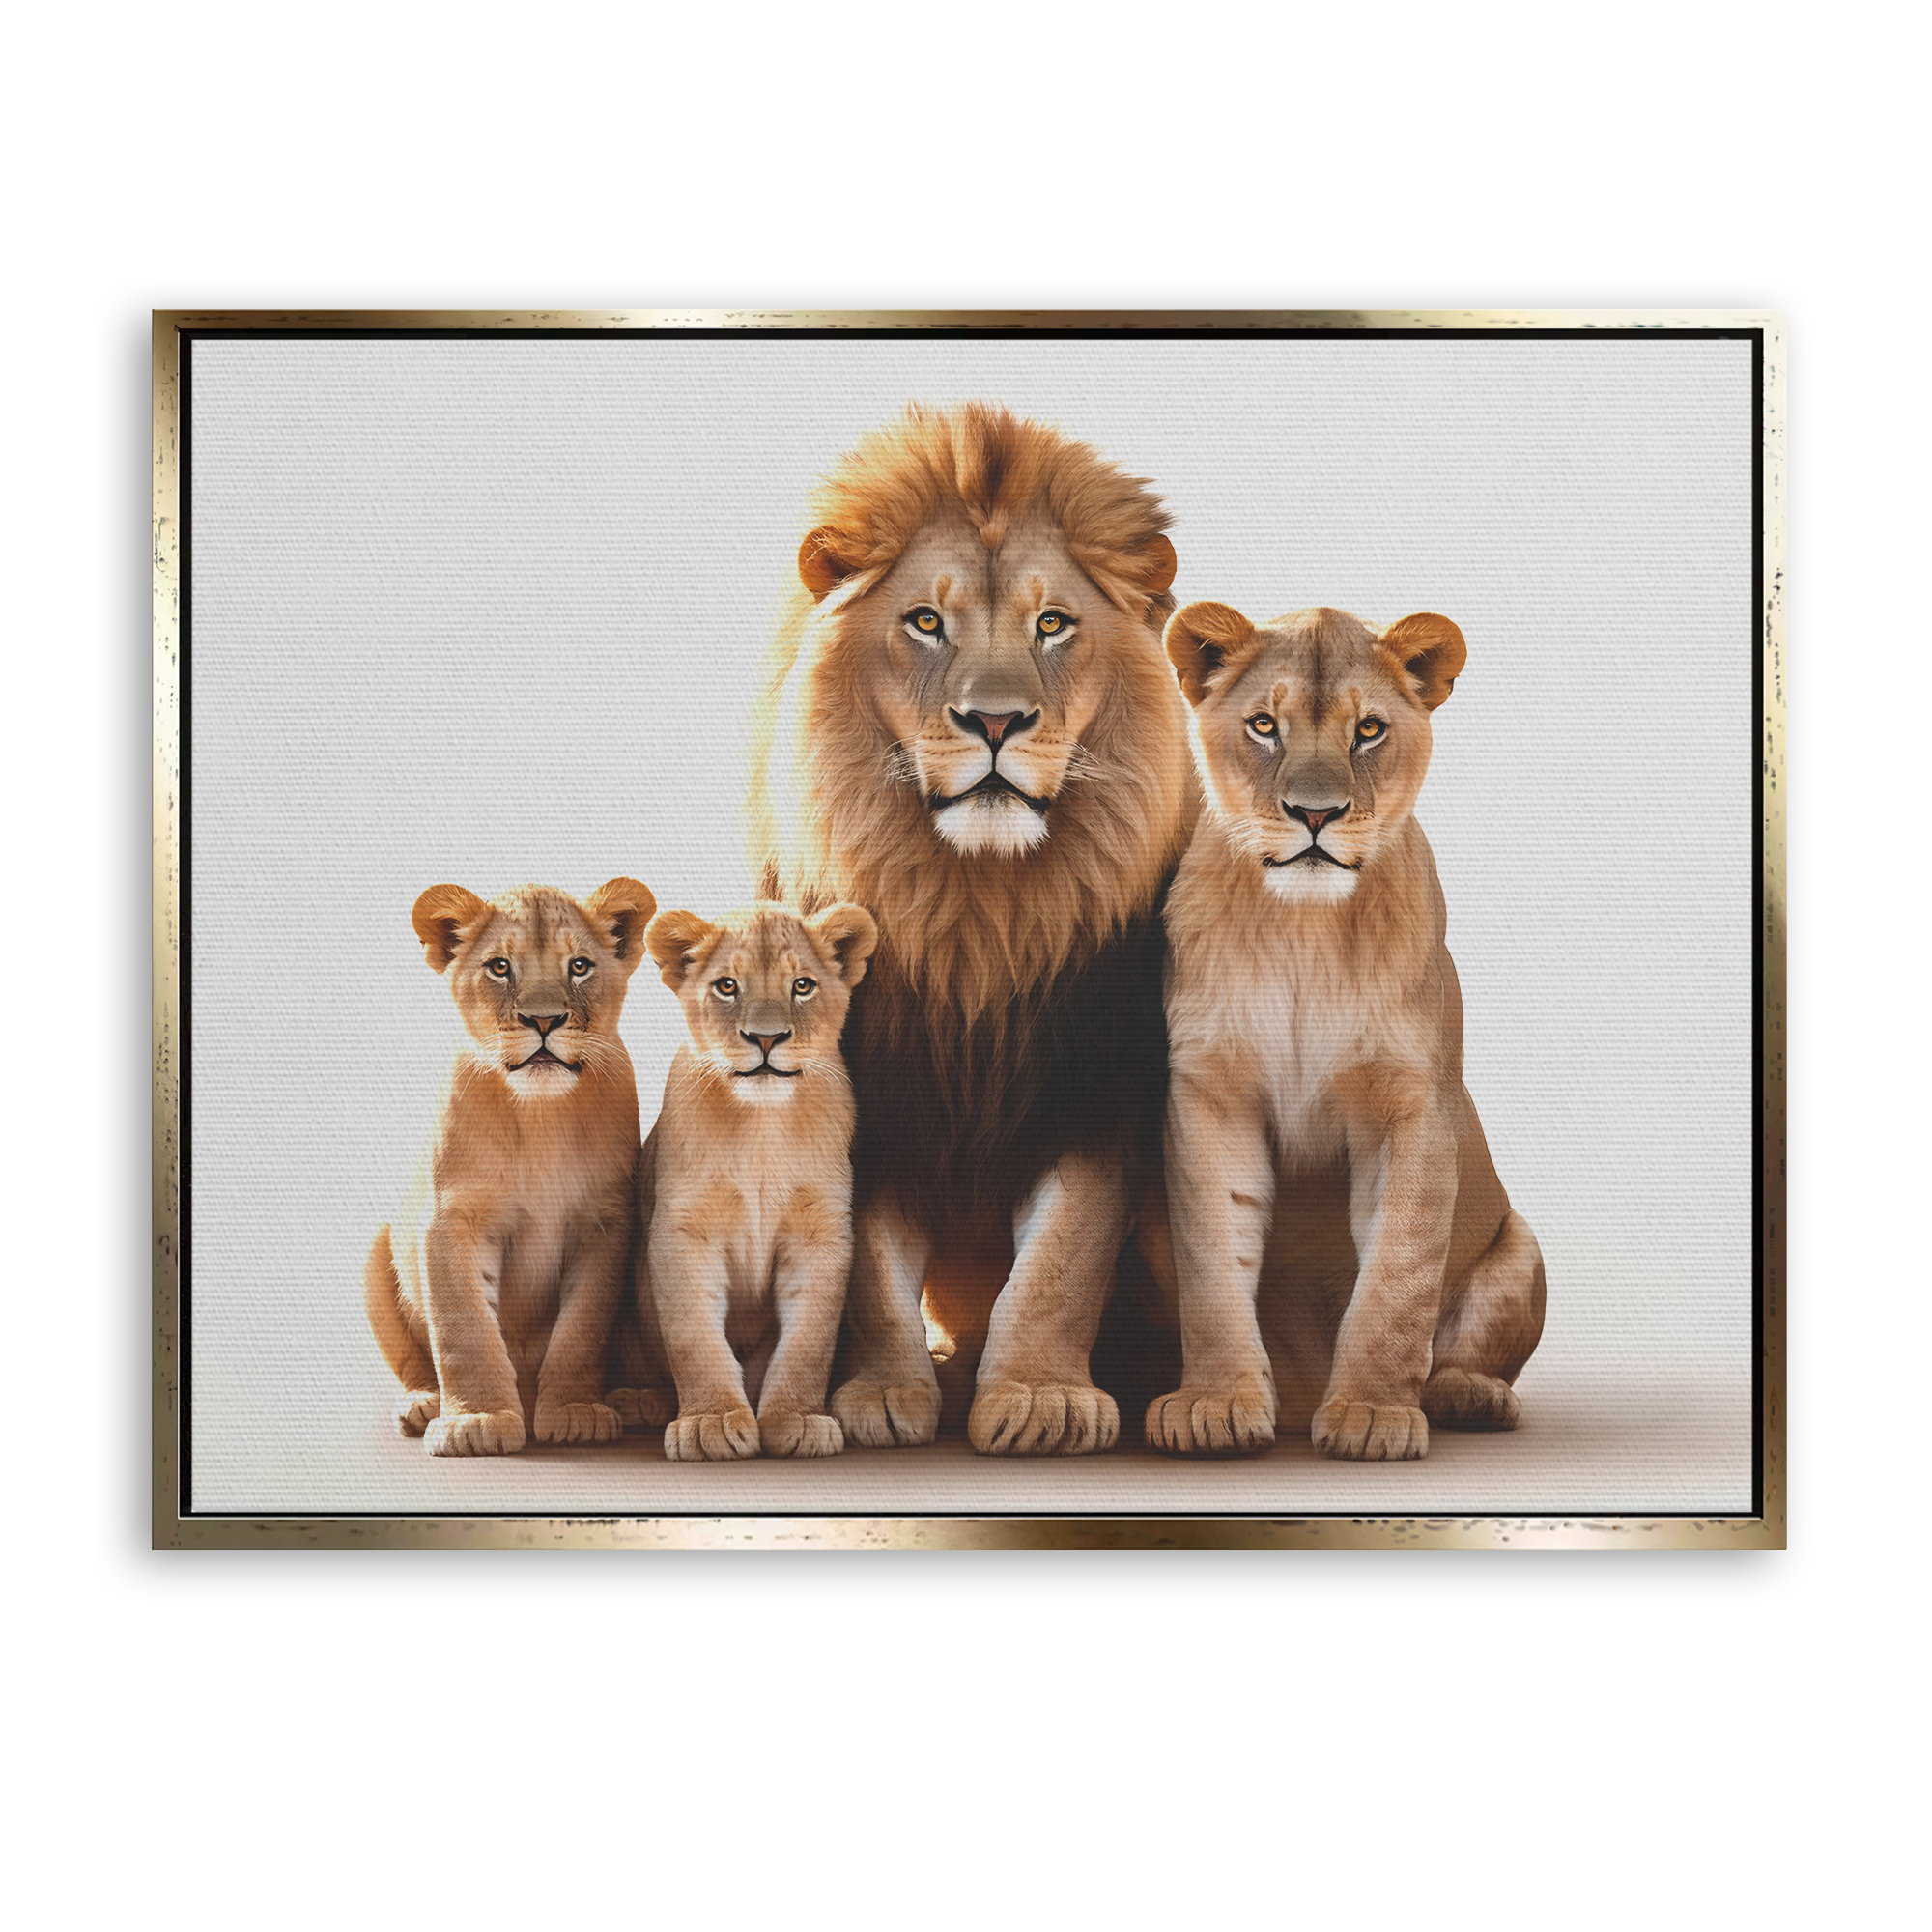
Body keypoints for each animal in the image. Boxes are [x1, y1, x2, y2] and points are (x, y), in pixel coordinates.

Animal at [364, 876, 657, 1456]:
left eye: (579, 966)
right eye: (500, 966)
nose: (543, 1021)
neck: (539, 1114)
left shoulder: (605, 1222)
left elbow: (582, 1329)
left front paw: (574, 1413)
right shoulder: (452, 1218)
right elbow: (464, 1327)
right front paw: (475, 1421)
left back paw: (634, 1399)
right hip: (376, 1250)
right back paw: (422, 1404)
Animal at [609, 900, 879, 1461]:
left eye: (802, 985)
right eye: (727, 986)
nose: (766, 1038)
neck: (762, 1126)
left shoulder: (821, 1231)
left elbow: (809, 1340)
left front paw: (796, 1418)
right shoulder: (683, 1230)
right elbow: (694, 1336)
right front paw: (709, 1421)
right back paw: (638, 1399)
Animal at [746, 403, 1193, 1455]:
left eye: (1051, 623)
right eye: (925, 621)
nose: (995, 721)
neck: (976, 920)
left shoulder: (1099, 1100)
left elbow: (1062, 1259)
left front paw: (1039, 1396)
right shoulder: (870, 1095)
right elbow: (869, 1266)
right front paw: (880, 1394)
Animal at [1147, 602, 1546, 1461]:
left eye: (1368, 730)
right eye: (1265, 725)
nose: (1315, 814)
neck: (1306, 930)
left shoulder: (1413, 1105)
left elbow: (1398, 1275)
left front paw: (1371, 1412)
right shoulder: (1209, 1094)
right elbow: (1212, 1264)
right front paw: (1215, 1403)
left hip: (1520, 1246)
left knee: (1468, 1350)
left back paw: (1469, 1396)